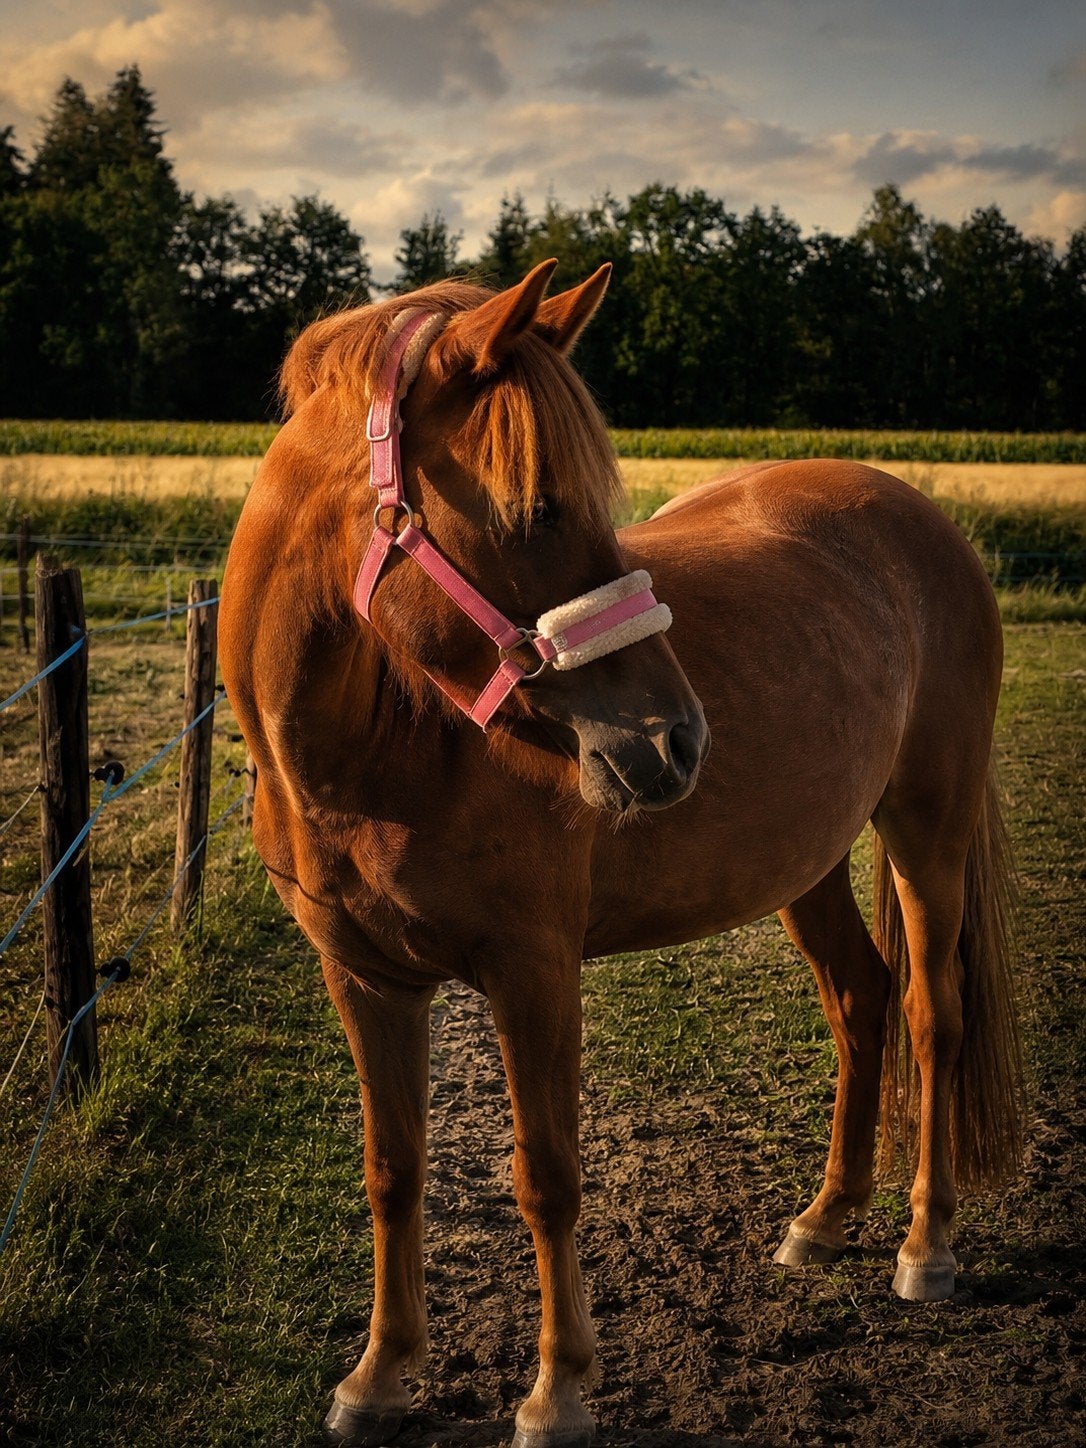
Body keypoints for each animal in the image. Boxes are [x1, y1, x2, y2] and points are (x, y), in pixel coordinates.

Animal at [218, 259, 1024, 1448]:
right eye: (537, 509)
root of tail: (925, 518)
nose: (677, 739)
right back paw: (826, 1219)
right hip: (807, 864)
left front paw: (558, 1390)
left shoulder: (534, 972)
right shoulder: (365, 978)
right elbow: (394, 1169)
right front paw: (379, 1375)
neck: (383, 743)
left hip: (930, 823)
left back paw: (926, 1247)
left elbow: (548, 1176)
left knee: (932, 1012)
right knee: (861, 1000)